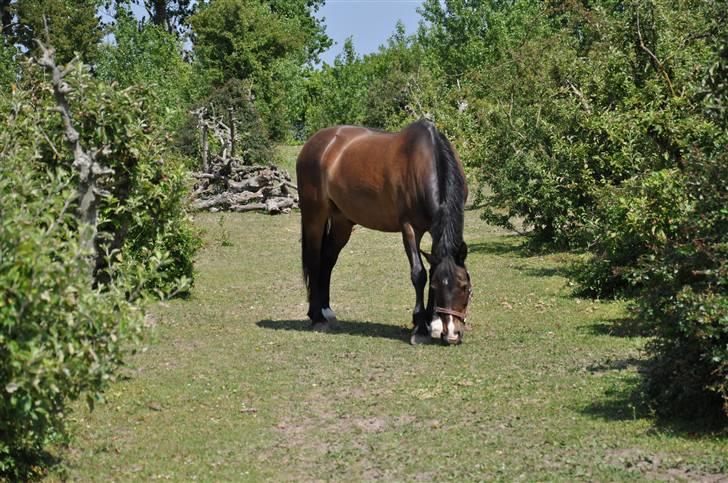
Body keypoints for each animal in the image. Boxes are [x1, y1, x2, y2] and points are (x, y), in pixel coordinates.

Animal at [296, 119, 472, 346]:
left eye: (464, 286)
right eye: (437, 287)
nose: (452, 335)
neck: (425, 162)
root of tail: (315, 143)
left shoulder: (435, 231)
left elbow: (433, 268)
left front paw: (432, 323)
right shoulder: (410, 229)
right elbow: (419, 274)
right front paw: (420, 328)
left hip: (341, 221)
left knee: (327, 260)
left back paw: (326, 311)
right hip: (314, 216)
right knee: (314, 261)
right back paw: (317, 317)